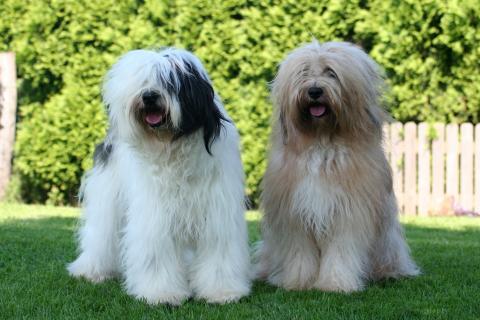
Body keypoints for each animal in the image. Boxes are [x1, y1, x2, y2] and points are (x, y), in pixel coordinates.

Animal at [69, 48, 253, 304]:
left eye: (170, 82)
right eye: (144, 81)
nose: (149, 96)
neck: (172, 146)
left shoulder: (218, 211)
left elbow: (218, 250)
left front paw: (222, 291)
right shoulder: (155, 213)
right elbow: (156, 252)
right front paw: (162, 293)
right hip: (107, 200)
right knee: (101, 233)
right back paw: (91, 270)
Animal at [256, 40, 418, 292]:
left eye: (331, 73)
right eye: (304, 72)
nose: (314, 91)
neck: (322, 142)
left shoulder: (349, 212)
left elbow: (342, 251)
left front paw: (335, 283)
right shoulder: (293, 215)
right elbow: (299, 251)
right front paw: (297, 282)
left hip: (387, 243)